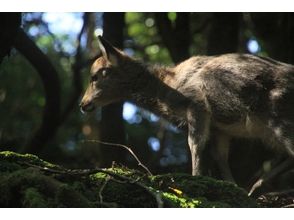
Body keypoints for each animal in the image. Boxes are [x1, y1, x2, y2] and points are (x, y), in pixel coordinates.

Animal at [80, 35, 294, 195]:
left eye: (95, 76)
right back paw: (257, 187)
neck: (170, 90)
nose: (83, 104)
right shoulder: (220, 129)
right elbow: (220, 157)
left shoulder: (197, 105)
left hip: (280, 116)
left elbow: (195, 144)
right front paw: (234, 187)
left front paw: (195, 179)